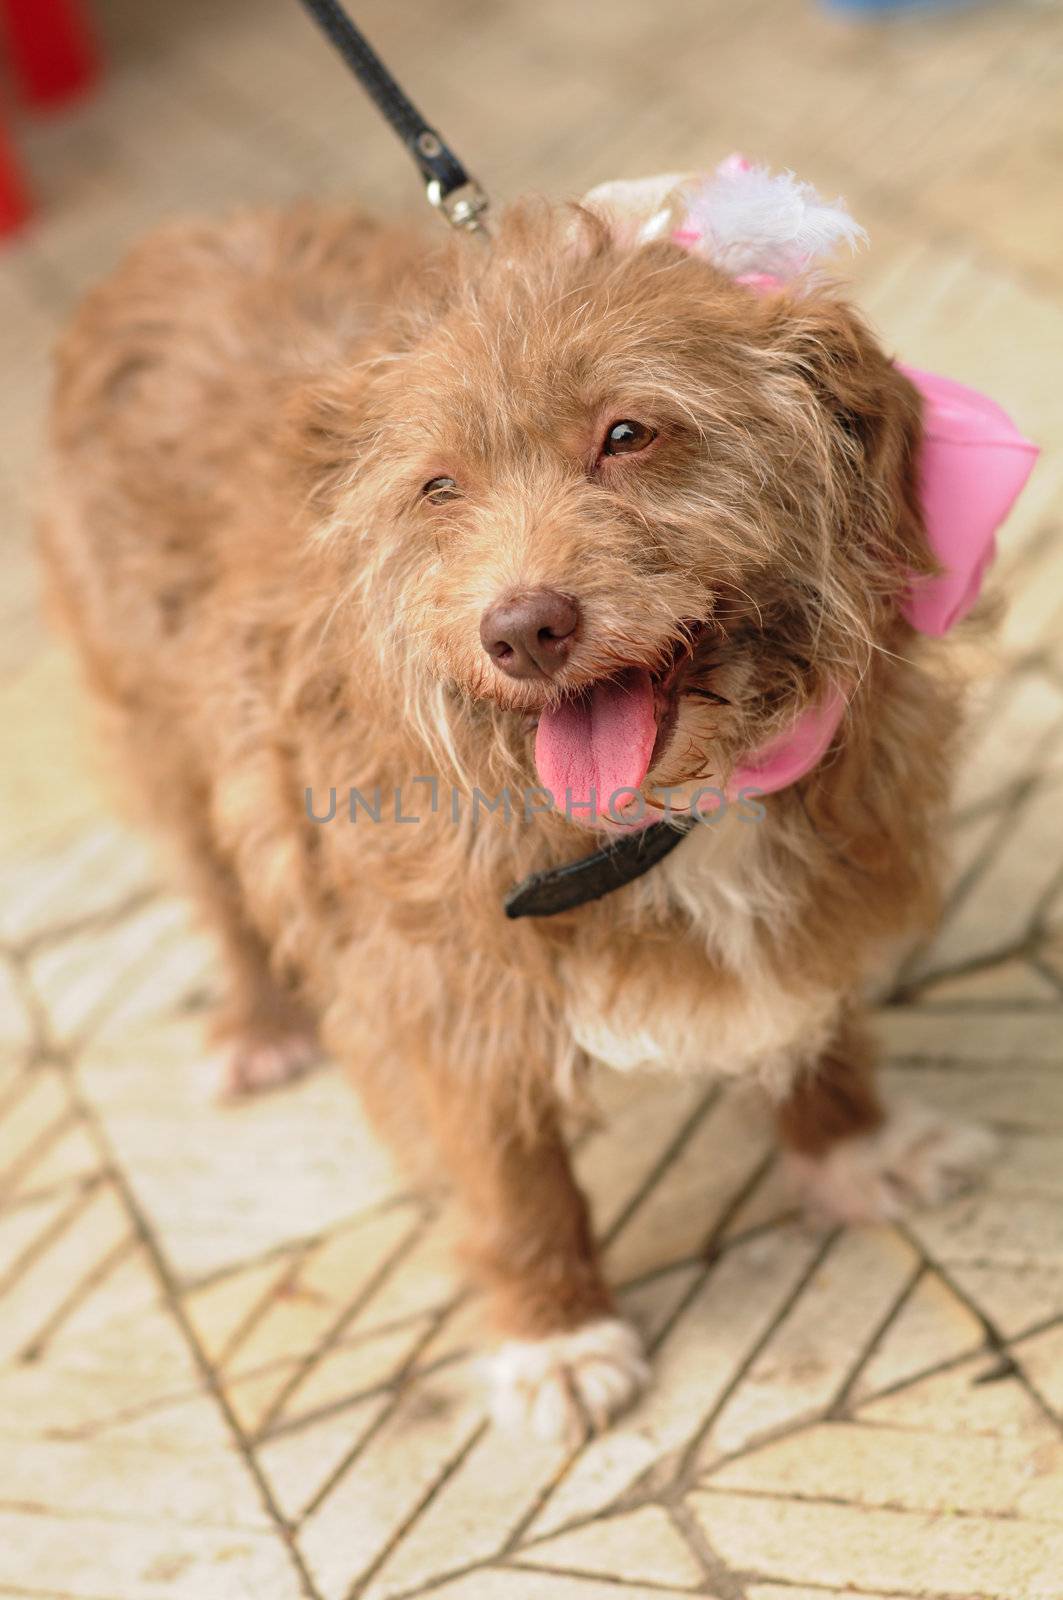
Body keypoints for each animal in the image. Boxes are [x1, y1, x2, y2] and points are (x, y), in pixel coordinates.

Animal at [39, 193, 986, 1446]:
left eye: (627, 433)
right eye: (438, 487)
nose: (523, 629)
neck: (678, 800)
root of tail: (169, 237)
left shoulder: (829, 840)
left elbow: (808, 1005)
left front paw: (852, 1143)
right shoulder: (439, 969)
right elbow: (511, 1180)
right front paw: (556, 1334)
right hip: (163, 734)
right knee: (218, 881)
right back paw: (258, 1020)